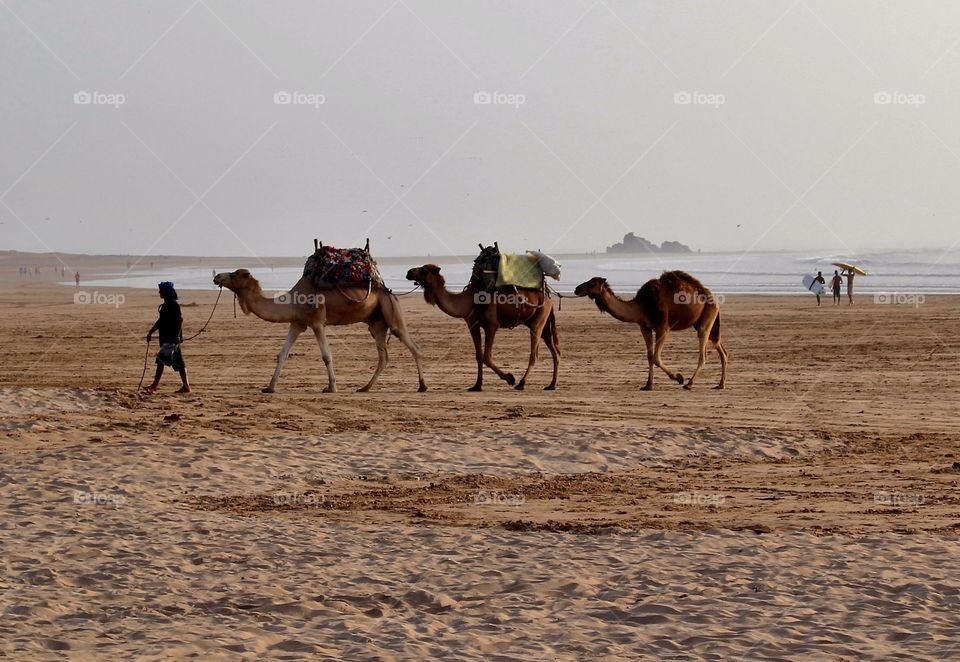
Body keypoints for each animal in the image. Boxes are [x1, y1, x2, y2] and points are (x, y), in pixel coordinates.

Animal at [216, 268, 430, 394]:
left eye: (233, 275)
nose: (217, 276)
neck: (292, 302)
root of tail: (388, 291)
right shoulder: (297, 323)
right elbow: (282, 354)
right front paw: (269, 387)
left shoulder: (318, 322)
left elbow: (327, 356)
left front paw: (331, 387)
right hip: (376, 322)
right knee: (383, 356)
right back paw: (365, 387)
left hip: (391, 311)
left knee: (413, 346)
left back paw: (422, 386)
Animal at [404, 264, 556, 392]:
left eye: (424, 270)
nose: (408, 272)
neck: (469, 301)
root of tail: (549, 296)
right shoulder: (473, 325)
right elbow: (478, 356)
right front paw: (477, 385)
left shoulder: (492, 325)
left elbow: (486, 357)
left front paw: (510, 378)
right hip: (541, 322)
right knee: (555, 351)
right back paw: (551, 385)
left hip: (539, 318)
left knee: (534, 354)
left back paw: (521, 383)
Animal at [576, 272, 728, 392]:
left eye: (591, 284)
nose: (577, 289)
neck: (640, 306)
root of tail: (714, 298)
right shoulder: (645, 327)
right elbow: (649, 356)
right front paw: (648, 385)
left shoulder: (663, 328)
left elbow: (656, 357)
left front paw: (678, 377)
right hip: (705, 322)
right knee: (721, 349)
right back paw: (720, 385)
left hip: (707, 317)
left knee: (704, 352)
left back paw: (689, 384)